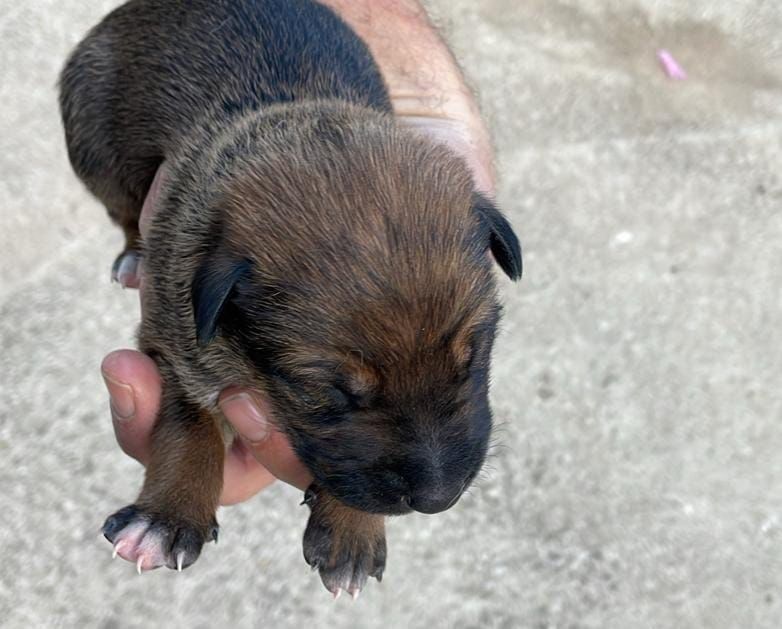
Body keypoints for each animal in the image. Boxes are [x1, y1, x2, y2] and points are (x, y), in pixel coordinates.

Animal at [59, 0, 520, 596]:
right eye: (328, 391)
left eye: (476, 354)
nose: (439, 500)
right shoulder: (176, 338)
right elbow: (190, 428)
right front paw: (166, 518)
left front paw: (352, 532)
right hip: (95, 143)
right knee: (121, 208)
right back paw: (133, 255)